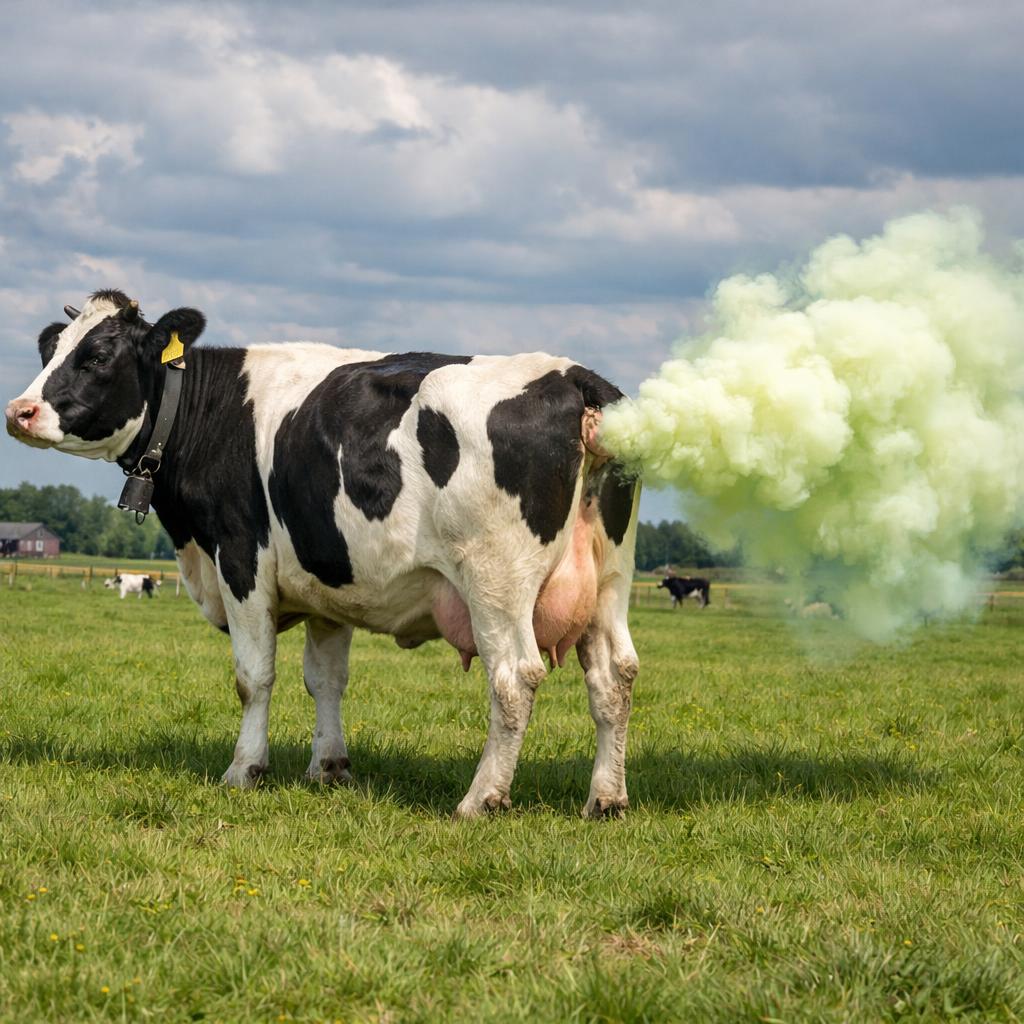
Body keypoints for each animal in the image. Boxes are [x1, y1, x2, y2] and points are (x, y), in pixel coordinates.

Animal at [5, 290, 640, 818]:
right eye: (51, 349)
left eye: (97, 356)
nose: (19, 411)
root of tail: (575, 377)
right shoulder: (328, 583)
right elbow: (326, 679)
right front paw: (330, 768)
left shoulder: (240, 558)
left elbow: (253, 676)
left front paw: (244, 769)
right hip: (610, 579)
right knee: (615, 676)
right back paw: (605, 799)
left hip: (495, 578)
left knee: (514, 678)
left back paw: (481, 798)